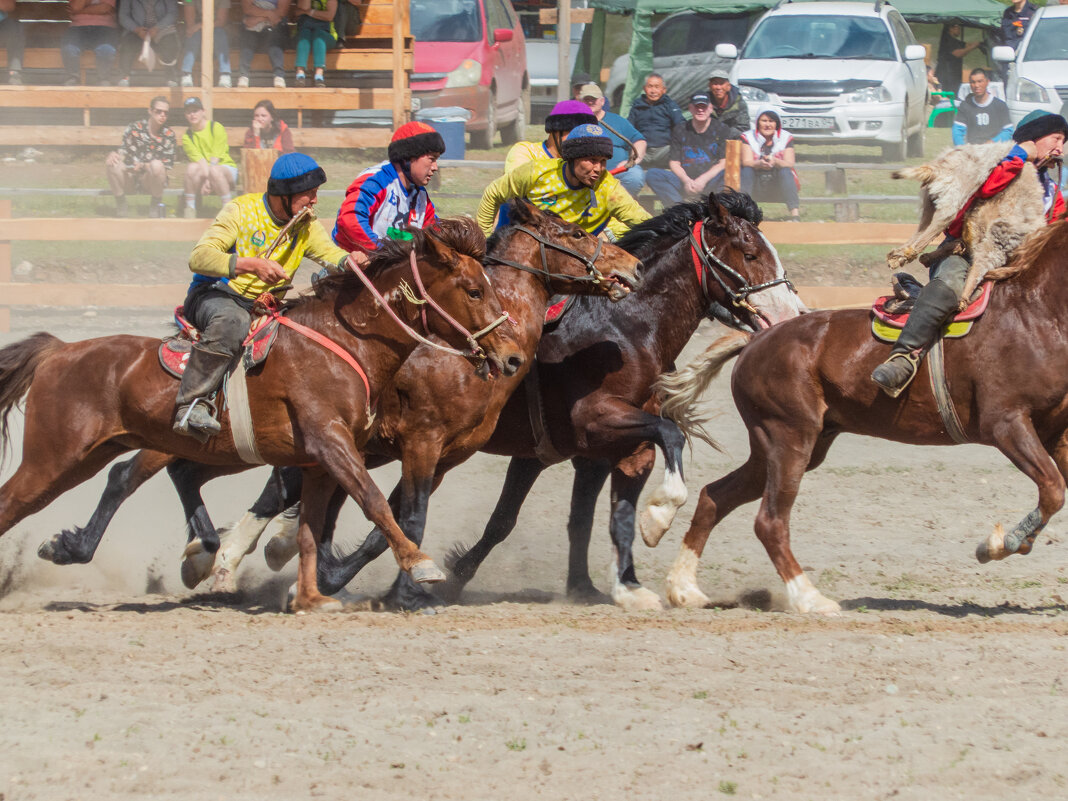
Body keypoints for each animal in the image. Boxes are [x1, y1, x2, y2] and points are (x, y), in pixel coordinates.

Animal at [37, 201, 640, 606]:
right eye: (575, 231)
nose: (631, 268)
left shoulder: (438, 454)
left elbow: (380, 514)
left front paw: (329, 572)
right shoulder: (418, 442)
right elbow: (396, 516)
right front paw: (398, 587)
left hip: (230, 446)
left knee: (186, 475)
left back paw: (207, 555)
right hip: (176, 434)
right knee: (128, 475)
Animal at [649, 220, 1068, 615]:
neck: (1032, 316)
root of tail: (756, 339)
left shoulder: (1055, 434)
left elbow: (1055, 489)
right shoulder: (1007, 425)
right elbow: (1053, 489)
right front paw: (1002, 543)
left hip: (781, 447)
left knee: (714, 496)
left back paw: (683, 587)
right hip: (789, 439)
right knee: (769, 521)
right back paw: (809, 598)